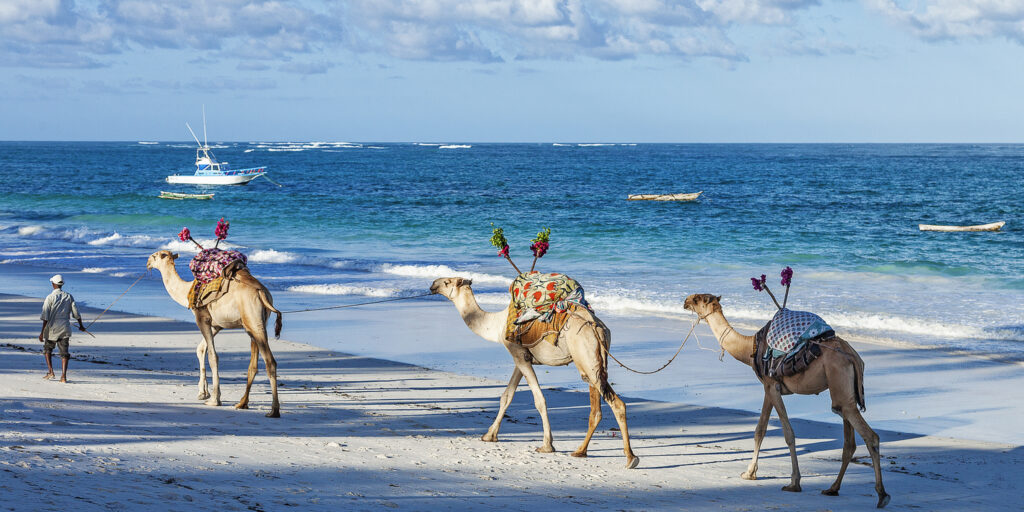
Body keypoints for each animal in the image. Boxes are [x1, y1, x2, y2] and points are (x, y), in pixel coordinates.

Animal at [147, 250, 283, 418]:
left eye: (155, 256)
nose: (147, 262)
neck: (187, 291)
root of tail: (262, 293)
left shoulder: (202, 317)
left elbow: (213, 356)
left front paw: (214, 399)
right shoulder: (216, 325)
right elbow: (201, 349)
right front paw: (202, 392)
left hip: (253, 320)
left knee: (270, 361)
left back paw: (273, 410)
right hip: (255, 323)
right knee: (254, 364)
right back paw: (242, 403)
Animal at [430, 277, 639, 469]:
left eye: (447, 282)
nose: (432, 284)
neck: (496, 325)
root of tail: (597, 327)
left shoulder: (518, 355)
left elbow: (539, 399)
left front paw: (547, 445)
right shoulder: (521, 357)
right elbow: (507, 396)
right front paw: (489, 435)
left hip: (585, 354)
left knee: (615, 403)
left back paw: (630, 458)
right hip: (595, 362)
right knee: (597, 407)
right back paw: (580, 451)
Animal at [683, 293, 889, 508]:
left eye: (698, 299)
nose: (685, 301)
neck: (749, 348)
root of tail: (853, 356)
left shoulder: (772, 386)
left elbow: (788, 433)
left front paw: (793, 483)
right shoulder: (768, 387)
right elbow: (760, 430)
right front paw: (749, 473)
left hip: (840, 384)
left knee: (870, 436)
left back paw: (882, 495)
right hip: (844, 393)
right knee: (848, 441)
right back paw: (832, 488)